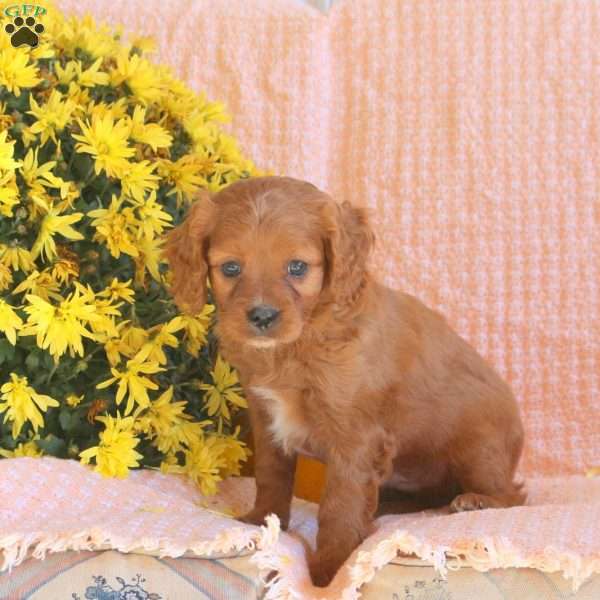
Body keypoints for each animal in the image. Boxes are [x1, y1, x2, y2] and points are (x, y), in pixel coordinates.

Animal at [164, 176, 524, 588]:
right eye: (231, 267)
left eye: (297, 267)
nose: (262, 316)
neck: (299, 342)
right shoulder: (267, 420)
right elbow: (270, 476)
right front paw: (262, 522)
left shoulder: (355, 438)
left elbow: (339, 506)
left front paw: (330, 570)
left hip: (479, 448)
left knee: (512, 495)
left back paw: (476, 500)